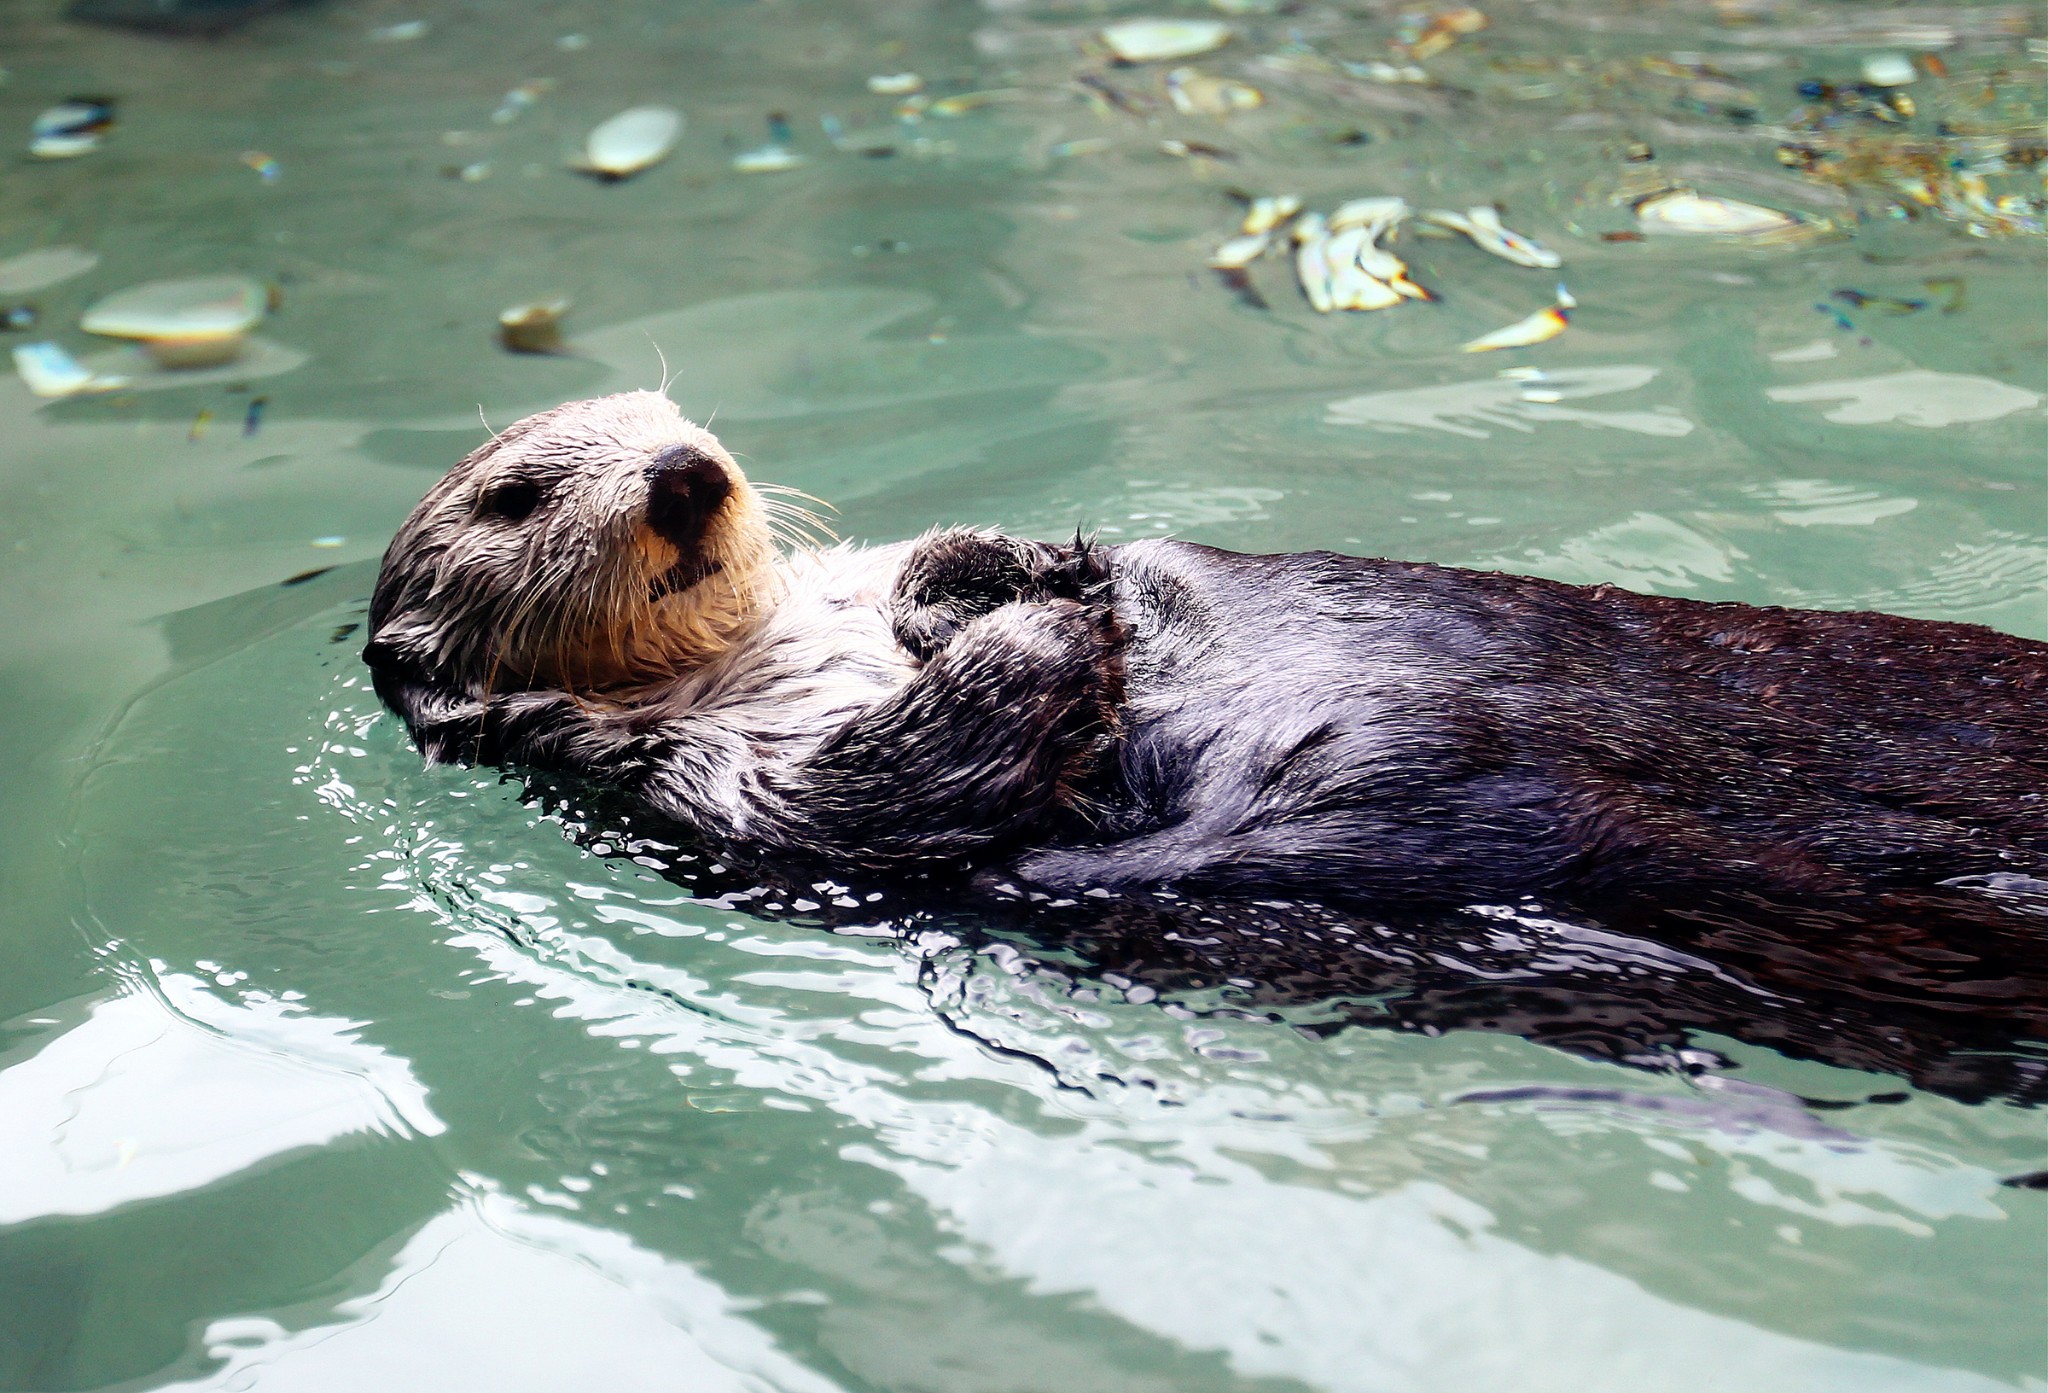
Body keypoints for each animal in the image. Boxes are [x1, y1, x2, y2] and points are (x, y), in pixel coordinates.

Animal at [368, 391, 2048, 913]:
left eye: (678, 418)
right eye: (517, 497)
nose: (686, 475)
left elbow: (941, 575)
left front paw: (1004, 569)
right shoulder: (691, 777)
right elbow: (899, 788)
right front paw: (1043, 628)